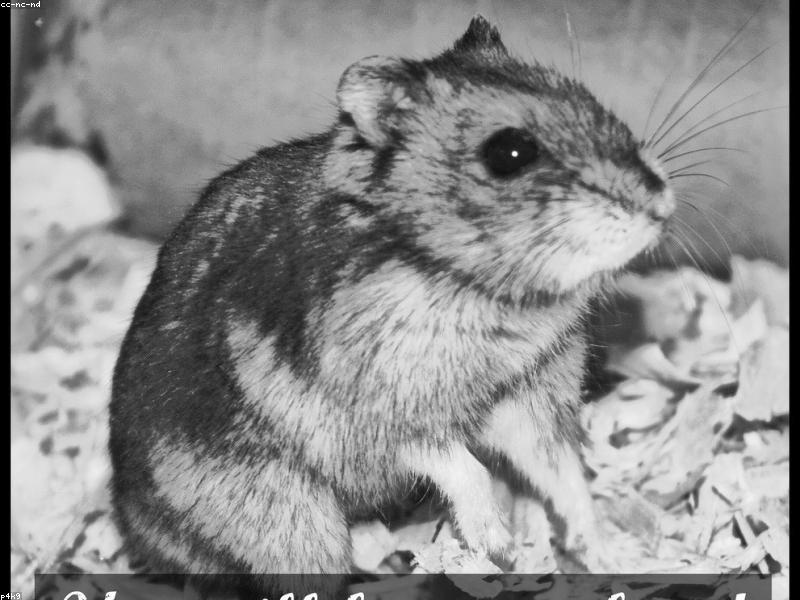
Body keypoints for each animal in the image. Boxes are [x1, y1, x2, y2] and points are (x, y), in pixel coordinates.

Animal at [108, 14, 674, 587]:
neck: (474, 282)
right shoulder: (391, 411)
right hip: (292, 526)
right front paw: (498, 546)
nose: (660, 204)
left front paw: (612, 556)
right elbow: (464, 467)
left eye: (588, 98)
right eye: (509, 153)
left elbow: (565, 475)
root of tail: (133, 527)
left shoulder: (533, 391)